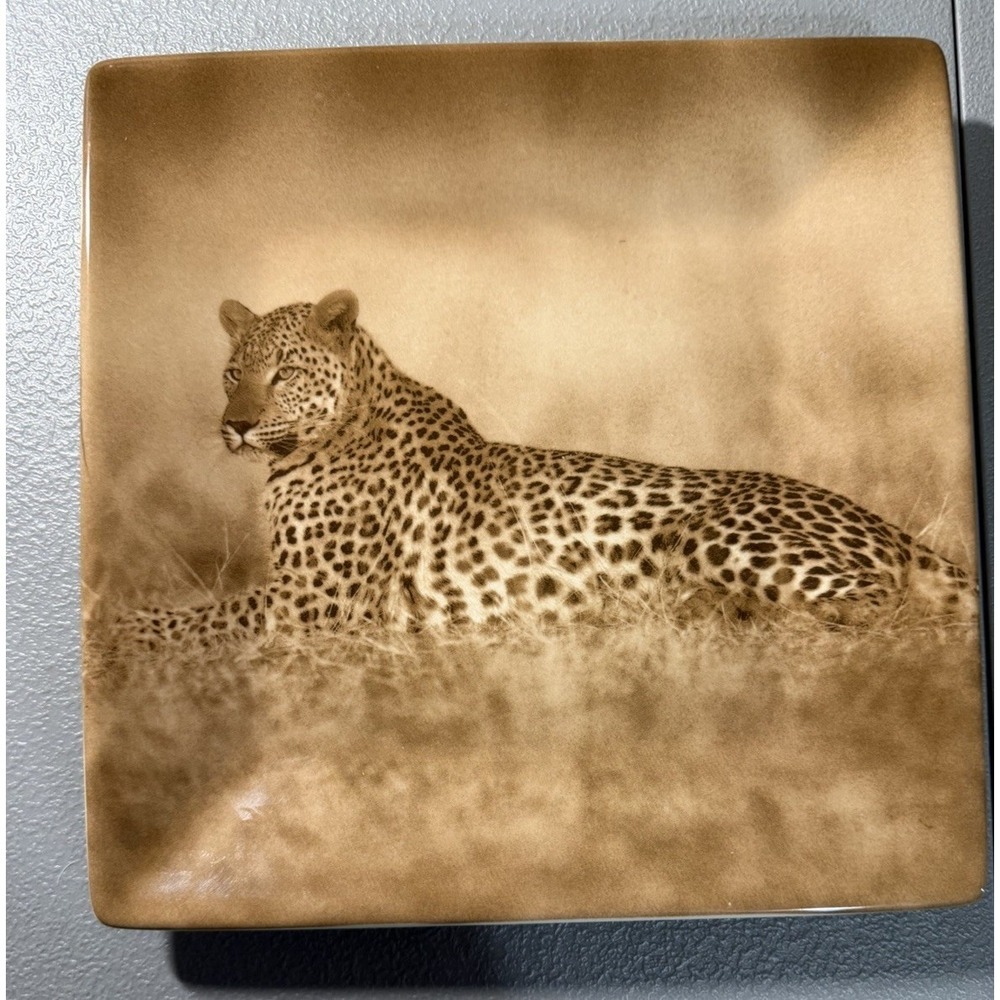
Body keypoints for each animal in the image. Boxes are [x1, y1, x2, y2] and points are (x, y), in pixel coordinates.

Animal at [124, 288, 977, 644]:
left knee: (883, 608)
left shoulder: (316, 599)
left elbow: (211, 615)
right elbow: (211, 608)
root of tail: (888, 529)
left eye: (284, 373)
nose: (234, 427)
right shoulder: (302, 593)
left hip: (710, 533)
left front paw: (124, 629)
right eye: (232, 373)